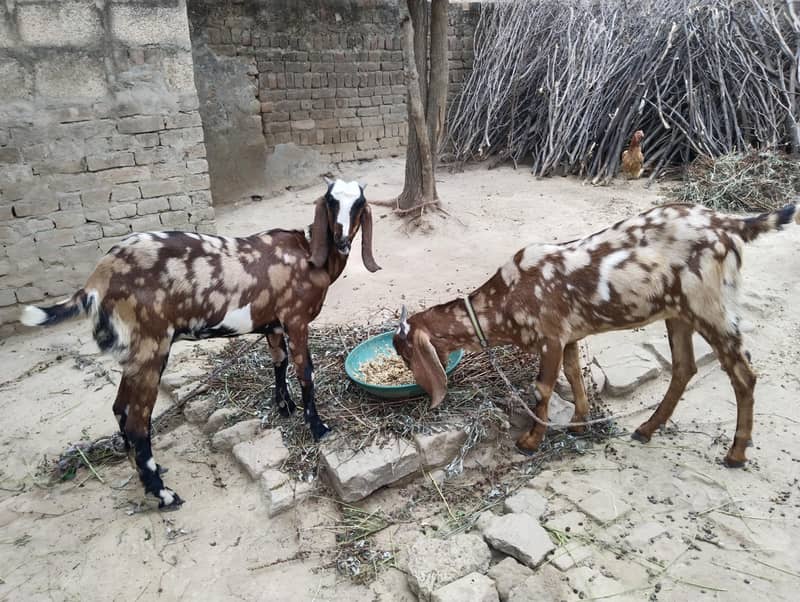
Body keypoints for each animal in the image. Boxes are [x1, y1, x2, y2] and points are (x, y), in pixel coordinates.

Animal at [20, 178, 381, 509]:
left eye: (359, 203)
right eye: (331, 201)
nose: (342, 240)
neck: (307, 254)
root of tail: (98, 277)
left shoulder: (273, 325)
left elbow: (278, 363)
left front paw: (284, 407)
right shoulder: (295, 320)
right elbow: (305, 372)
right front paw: (318, 428)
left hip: (134, 354)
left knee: (120, 408)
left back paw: (146, 475)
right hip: (152, 346)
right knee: (137, 420)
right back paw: (164, 494)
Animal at [394, 203, 799, 468]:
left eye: (404, 351)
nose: (420, 388)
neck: (505, 298)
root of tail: (730, 224)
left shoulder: (550, 336)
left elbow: (542, 389)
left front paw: (530, 441)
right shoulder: (569, 335)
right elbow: (574, 375)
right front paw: (578, 423)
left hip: (710, 307)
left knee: (743, 374)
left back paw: (736, 453)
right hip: (678, 313)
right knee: (685, 367)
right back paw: (646, 429)